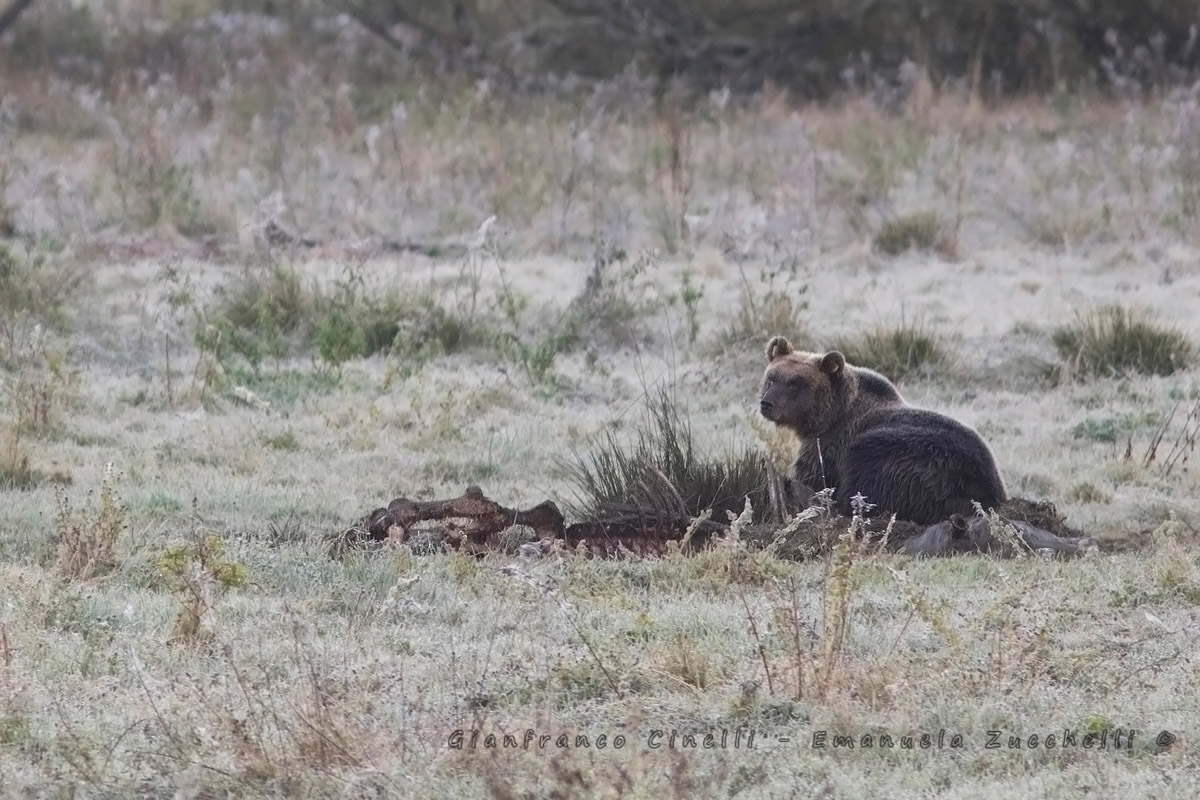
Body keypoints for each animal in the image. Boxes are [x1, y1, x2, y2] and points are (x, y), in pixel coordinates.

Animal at [758, 335, 1007, 525]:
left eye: (795, 384)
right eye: (771, 379)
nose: (766, 403)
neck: (830, 417)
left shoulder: (830, 446)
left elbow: (814, 477)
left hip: (913, 459)